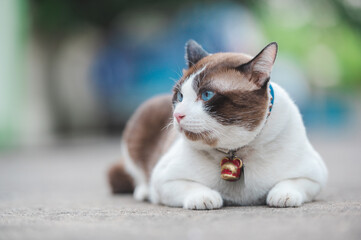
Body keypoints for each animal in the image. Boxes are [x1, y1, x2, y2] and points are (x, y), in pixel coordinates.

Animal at [107, 40, 326, 209]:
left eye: (206, 95)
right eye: (180, 96)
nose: (177, 115)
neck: (234, 150)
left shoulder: (315, 175)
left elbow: (290, 184)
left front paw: (282, 197)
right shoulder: (164, 178)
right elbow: (192, 187)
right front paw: (206, 198)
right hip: (143, 118)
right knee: (138, 175)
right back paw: (143, 192)